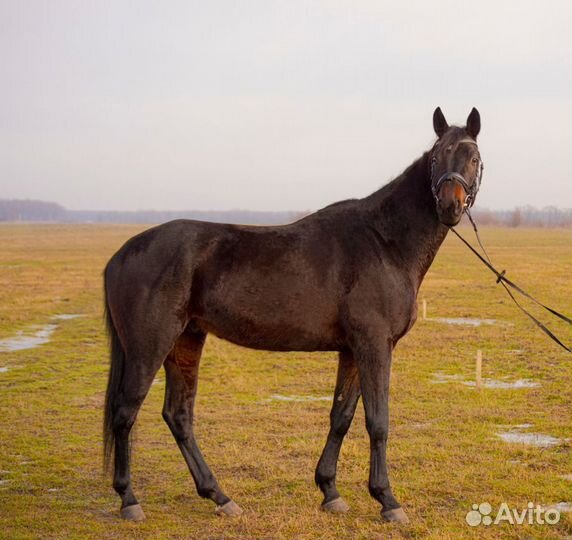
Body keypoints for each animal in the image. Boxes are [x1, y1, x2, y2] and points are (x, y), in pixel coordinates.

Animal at [103, 106, 482, 524]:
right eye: (436, 158)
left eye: (473, 157)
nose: (450, 206)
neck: (385, 242)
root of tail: (122, 254)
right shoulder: (375, 345)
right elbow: (377, 421)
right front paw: (387, 500)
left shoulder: (353, 350)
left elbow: (341, 416)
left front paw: (330, 491)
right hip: (149, 346)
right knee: (125, 413)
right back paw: (129, 500)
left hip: (185, 341)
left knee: (178, 416)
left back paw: (219, 495)